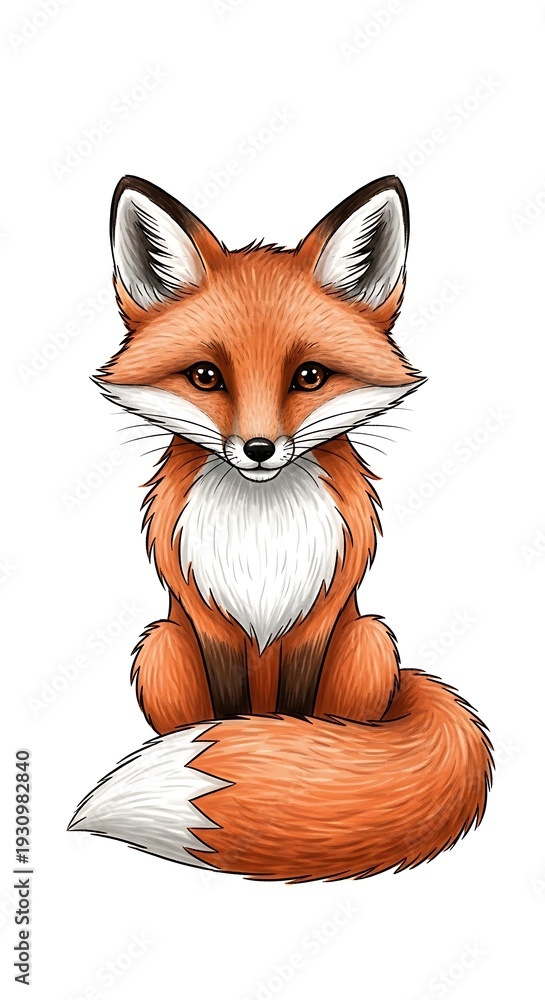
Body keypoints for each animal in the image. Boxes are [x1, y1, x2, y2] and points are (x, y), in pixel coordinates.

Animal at [68, 174, 493, 881]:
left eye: (309, 376)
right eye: (206, 376)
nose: (259, 449)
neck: (261, 541)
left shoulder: (311, 626)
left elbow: (296, 726)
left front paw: (293, 777)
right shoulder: (211, 627)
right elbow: (230, 714)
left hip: (370, 642)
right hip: (161, 645)